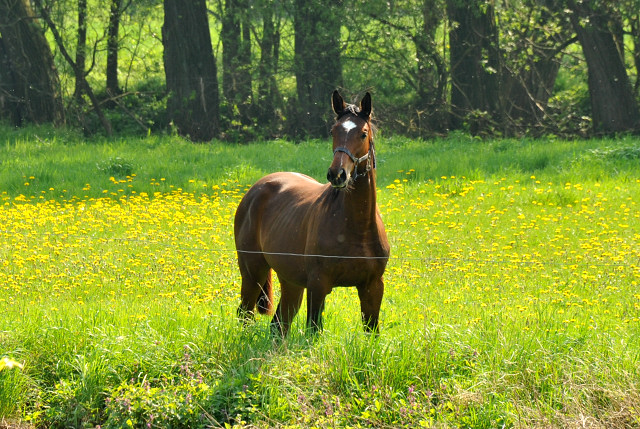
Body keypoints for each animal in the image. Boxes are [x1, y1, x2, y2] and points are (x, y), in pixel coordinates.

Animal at [232, 92, 388, 336]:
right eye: (333, 131)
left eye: (363, 133)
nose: (337, 174)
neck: (357, 227)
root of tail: (256, 189)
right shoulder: (318, 284)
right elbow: (313, 330)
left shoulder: (372, 286)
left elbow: (372, 332)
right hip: (252, 272)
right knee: (245, 313)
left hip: (291, 281)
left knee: (279, 323)